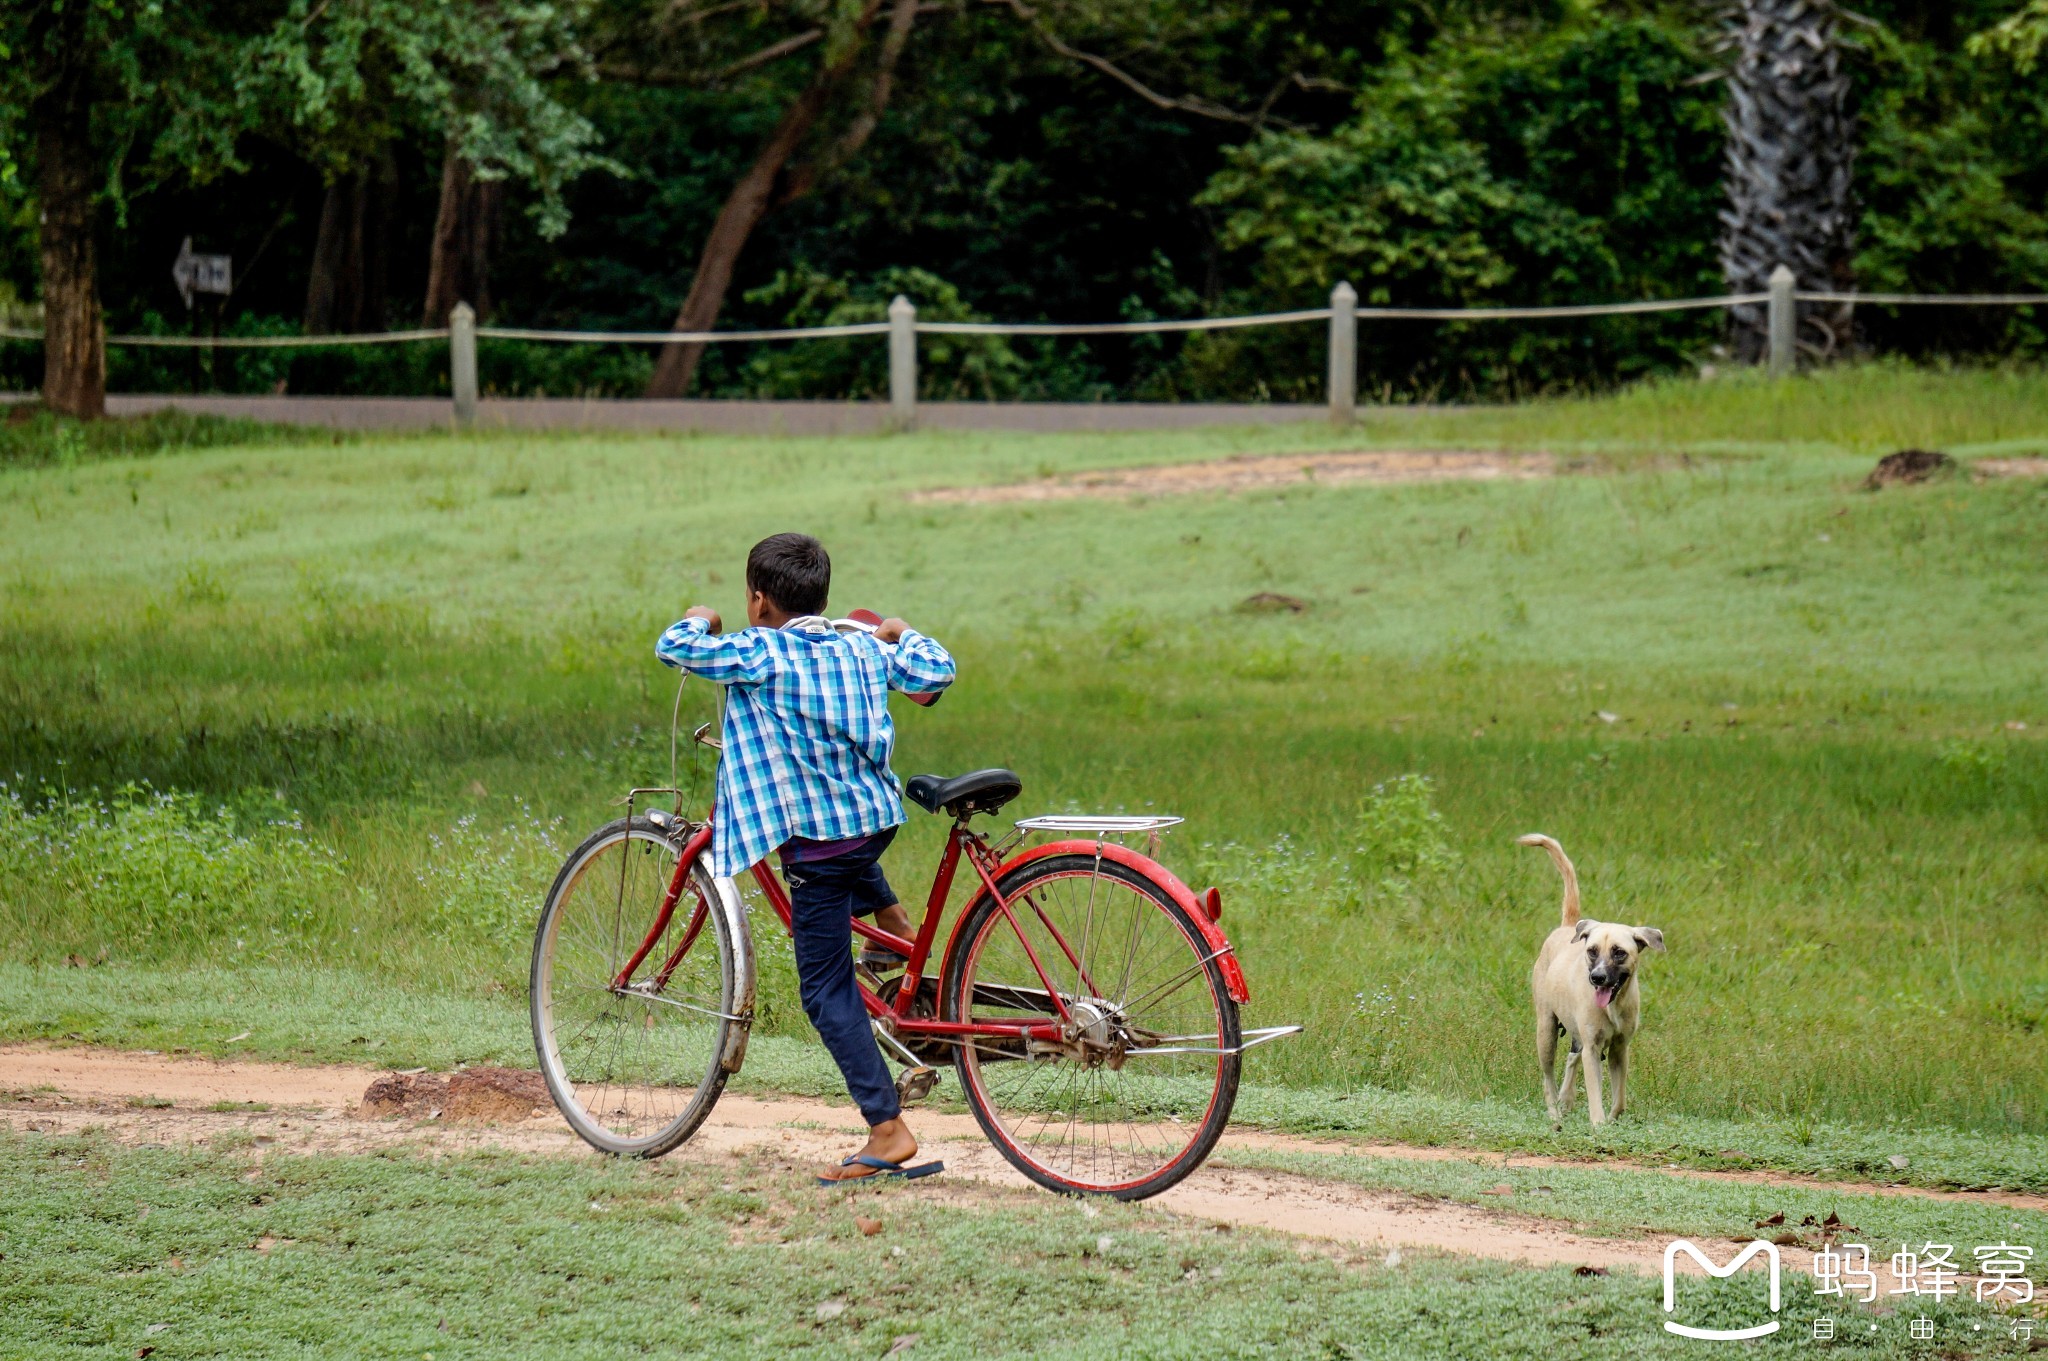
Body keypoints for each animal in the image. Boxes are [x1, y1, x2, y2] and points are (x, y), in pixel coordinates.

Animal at [1523, 835, 1662, 1129]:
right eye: (1592, 950)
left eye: (1620, 952)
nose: (1596, 977)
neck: (1613, 1006)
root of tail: (1568, 926)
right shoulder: (1592, 1048)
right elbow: (1595, 1093)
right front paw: (1599, 1125)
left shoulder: (1620, 1049)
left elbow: (1619, 1099)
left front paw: (1612, 1120)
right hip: (1546, 1030)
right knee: (1547, 1077)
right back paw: (1555, 1112)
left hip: (1576, 1035)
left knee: (1570, 1058)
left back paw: (1566, 1099)